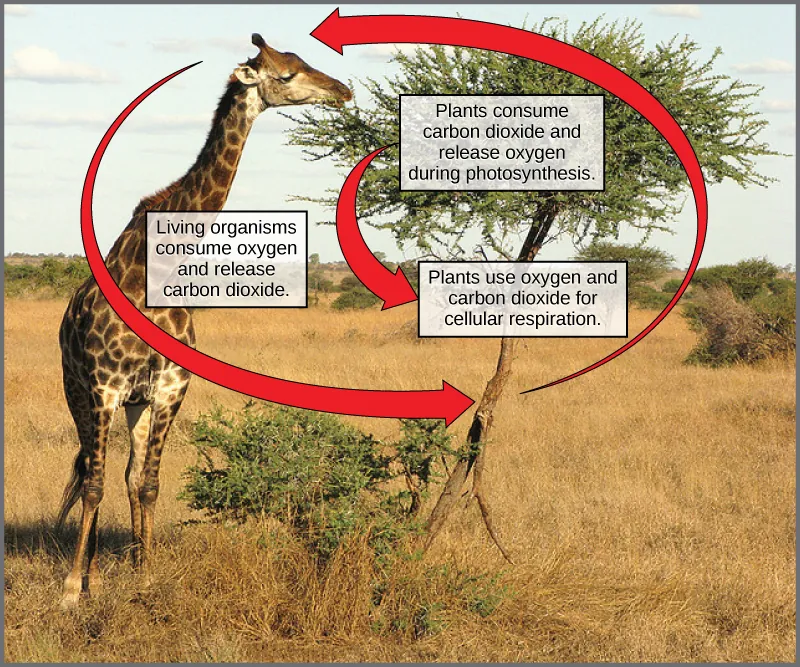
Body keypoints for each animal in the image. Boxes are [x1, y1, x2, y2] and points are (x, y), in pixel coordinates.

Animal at [56, 34, 351, 608]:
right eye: (286, 74)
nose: (342, 89)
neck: (154, 268)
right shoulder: (104, 386)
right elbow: (96, 484)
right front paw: (72, 592)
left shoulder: (170, 386)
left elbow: (147, 483)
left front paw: (145, 575)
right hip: (77, 390)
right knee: (89, 473)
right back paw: (87, 574)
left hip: (135, 402)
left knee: (123, 474)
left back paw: (114, 567)